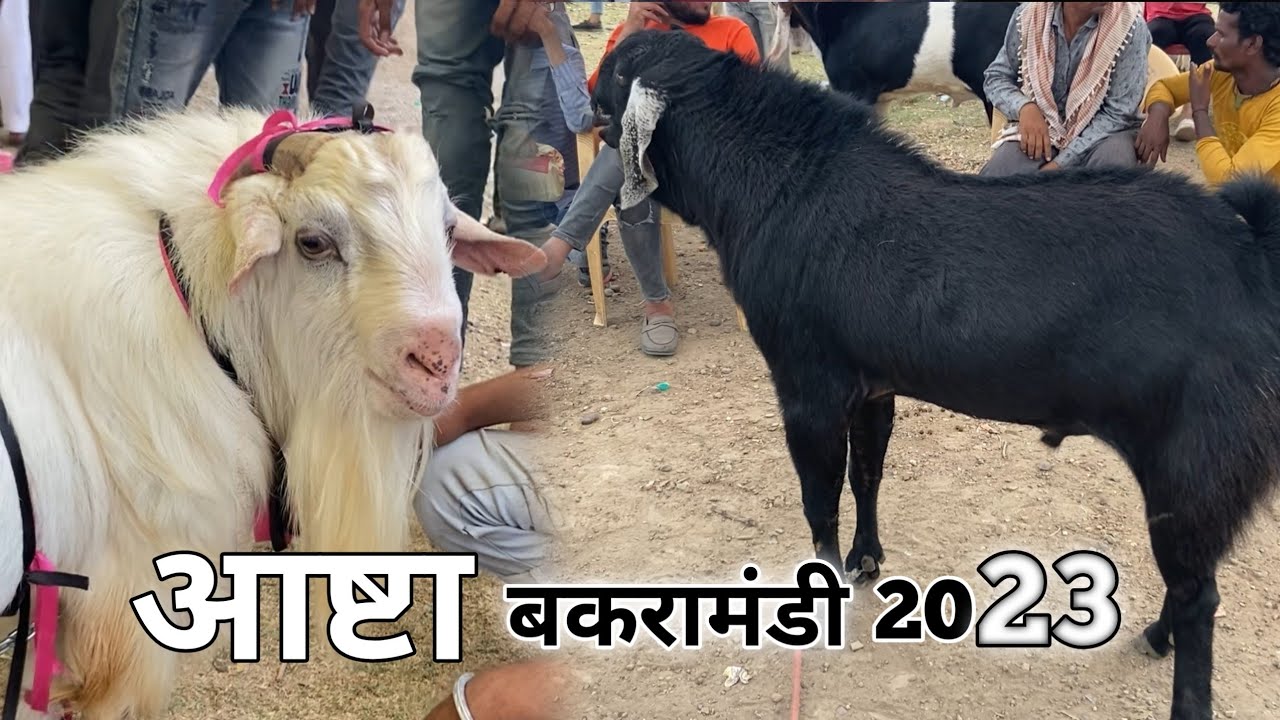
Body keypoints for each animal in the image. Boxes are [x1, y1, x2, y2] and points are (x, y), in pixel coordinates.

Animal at [592, 29, 1280, 720]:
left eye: (606, 96)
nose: (586, 109)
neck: (784, 184)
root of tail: (1247, 252)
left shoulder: (807, 387)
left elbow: (820, 497)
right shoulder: (872, 387)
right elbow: (866, 473)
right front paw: (866, 558)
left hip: (1195, 463)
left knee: (1199, 594)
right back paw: (1157, 634)